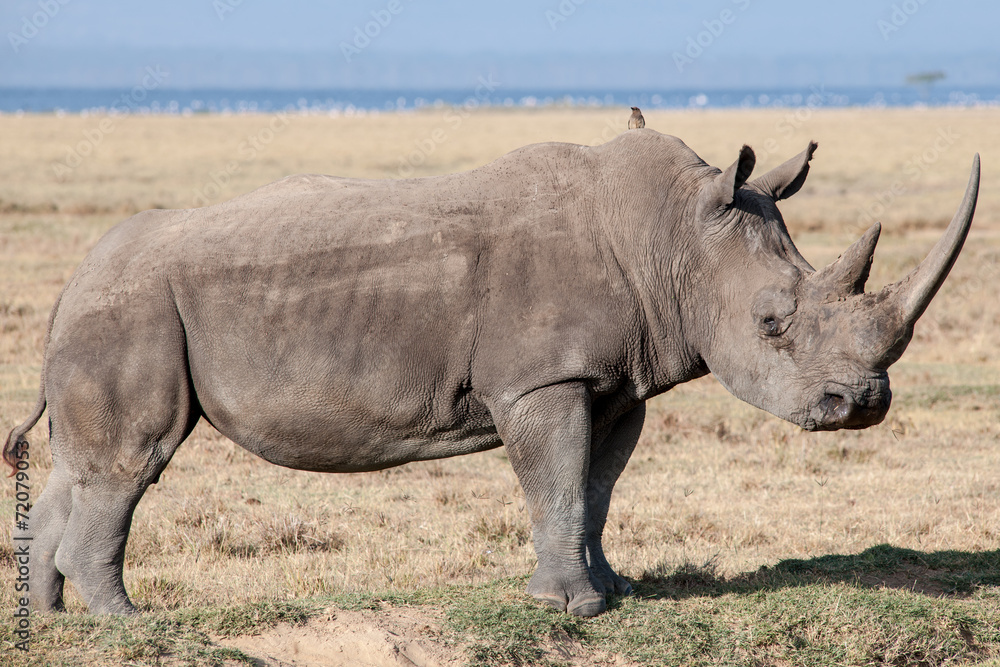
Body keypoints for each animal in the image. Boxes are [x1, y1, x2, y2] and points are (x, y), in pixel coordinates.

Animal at [4, 130, 979, 617]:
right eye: (773, 324)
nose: (862, 405)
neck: (671, 235)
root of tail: (70, 283)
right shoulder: (542, 379)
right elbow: (555, 479)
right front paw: (571, 610)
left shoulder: (614, 381)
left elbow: (596, 486)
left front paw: (613, 592)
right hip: (133, 307)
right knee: (135, 461)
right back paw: (127, 621)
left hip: (110, 307)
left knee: (81, 467)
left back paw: (52, 618)